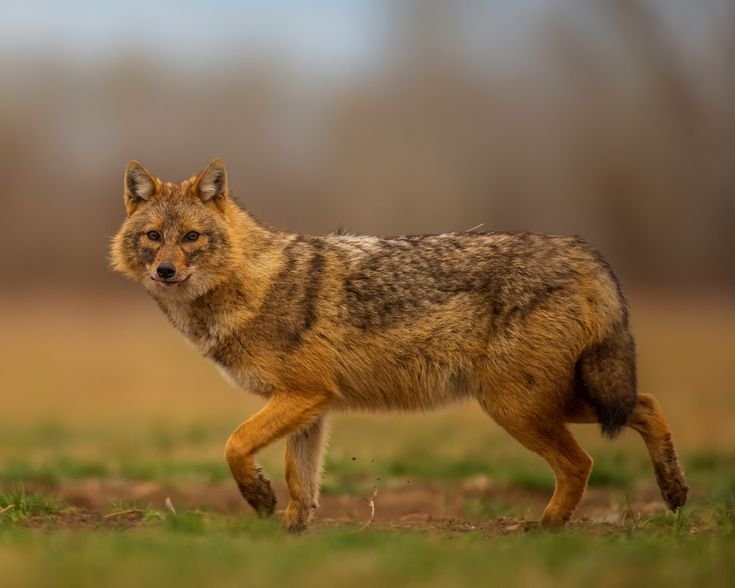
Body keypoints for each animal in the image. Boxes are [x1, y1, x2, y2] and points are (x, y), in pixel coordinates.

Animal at [111, 158, 688, 531]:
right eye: (153, 237)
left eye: (191, 238)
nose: (165, 272)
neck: (250, 284)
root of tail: (581, 250)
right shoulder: (312, 406)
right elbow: (302, 482)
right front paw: (290, 534)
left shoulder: (300, 397)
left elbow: (234, 444)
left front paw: (257, 497)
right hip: (561, 398)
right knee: (647, 405)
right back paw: (675, 494)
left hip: (519, 406)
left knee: (581, 464)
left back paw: (540, 531)